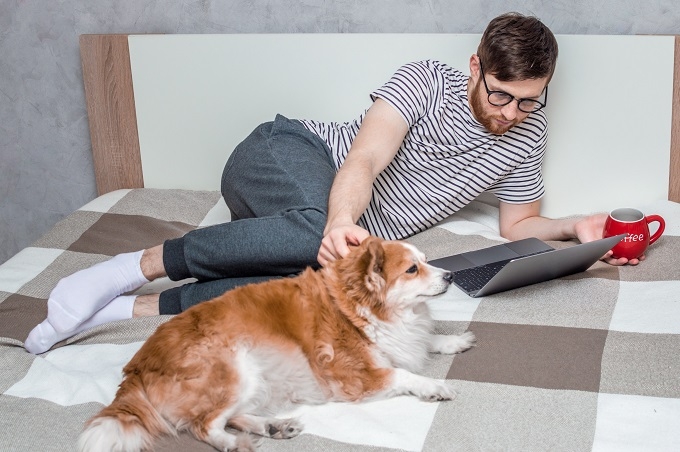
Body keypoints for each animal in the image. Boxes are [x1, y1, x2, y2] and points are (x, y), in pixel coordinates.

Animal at [78, 237, 472, 452]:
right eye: (412, 270)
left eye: (426, 262)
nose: (451, 275)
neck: (357, 307)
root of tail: (137, 366)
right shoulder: (358, 377)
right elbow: (404, 374)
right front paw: (434, 386)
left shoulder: (400, 338)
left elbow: (423, 341)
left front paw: (452, 340)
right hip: (235, 368)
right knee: (203, 424)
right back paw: (233, 442)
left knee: (229, 416)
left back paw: (272, 427)